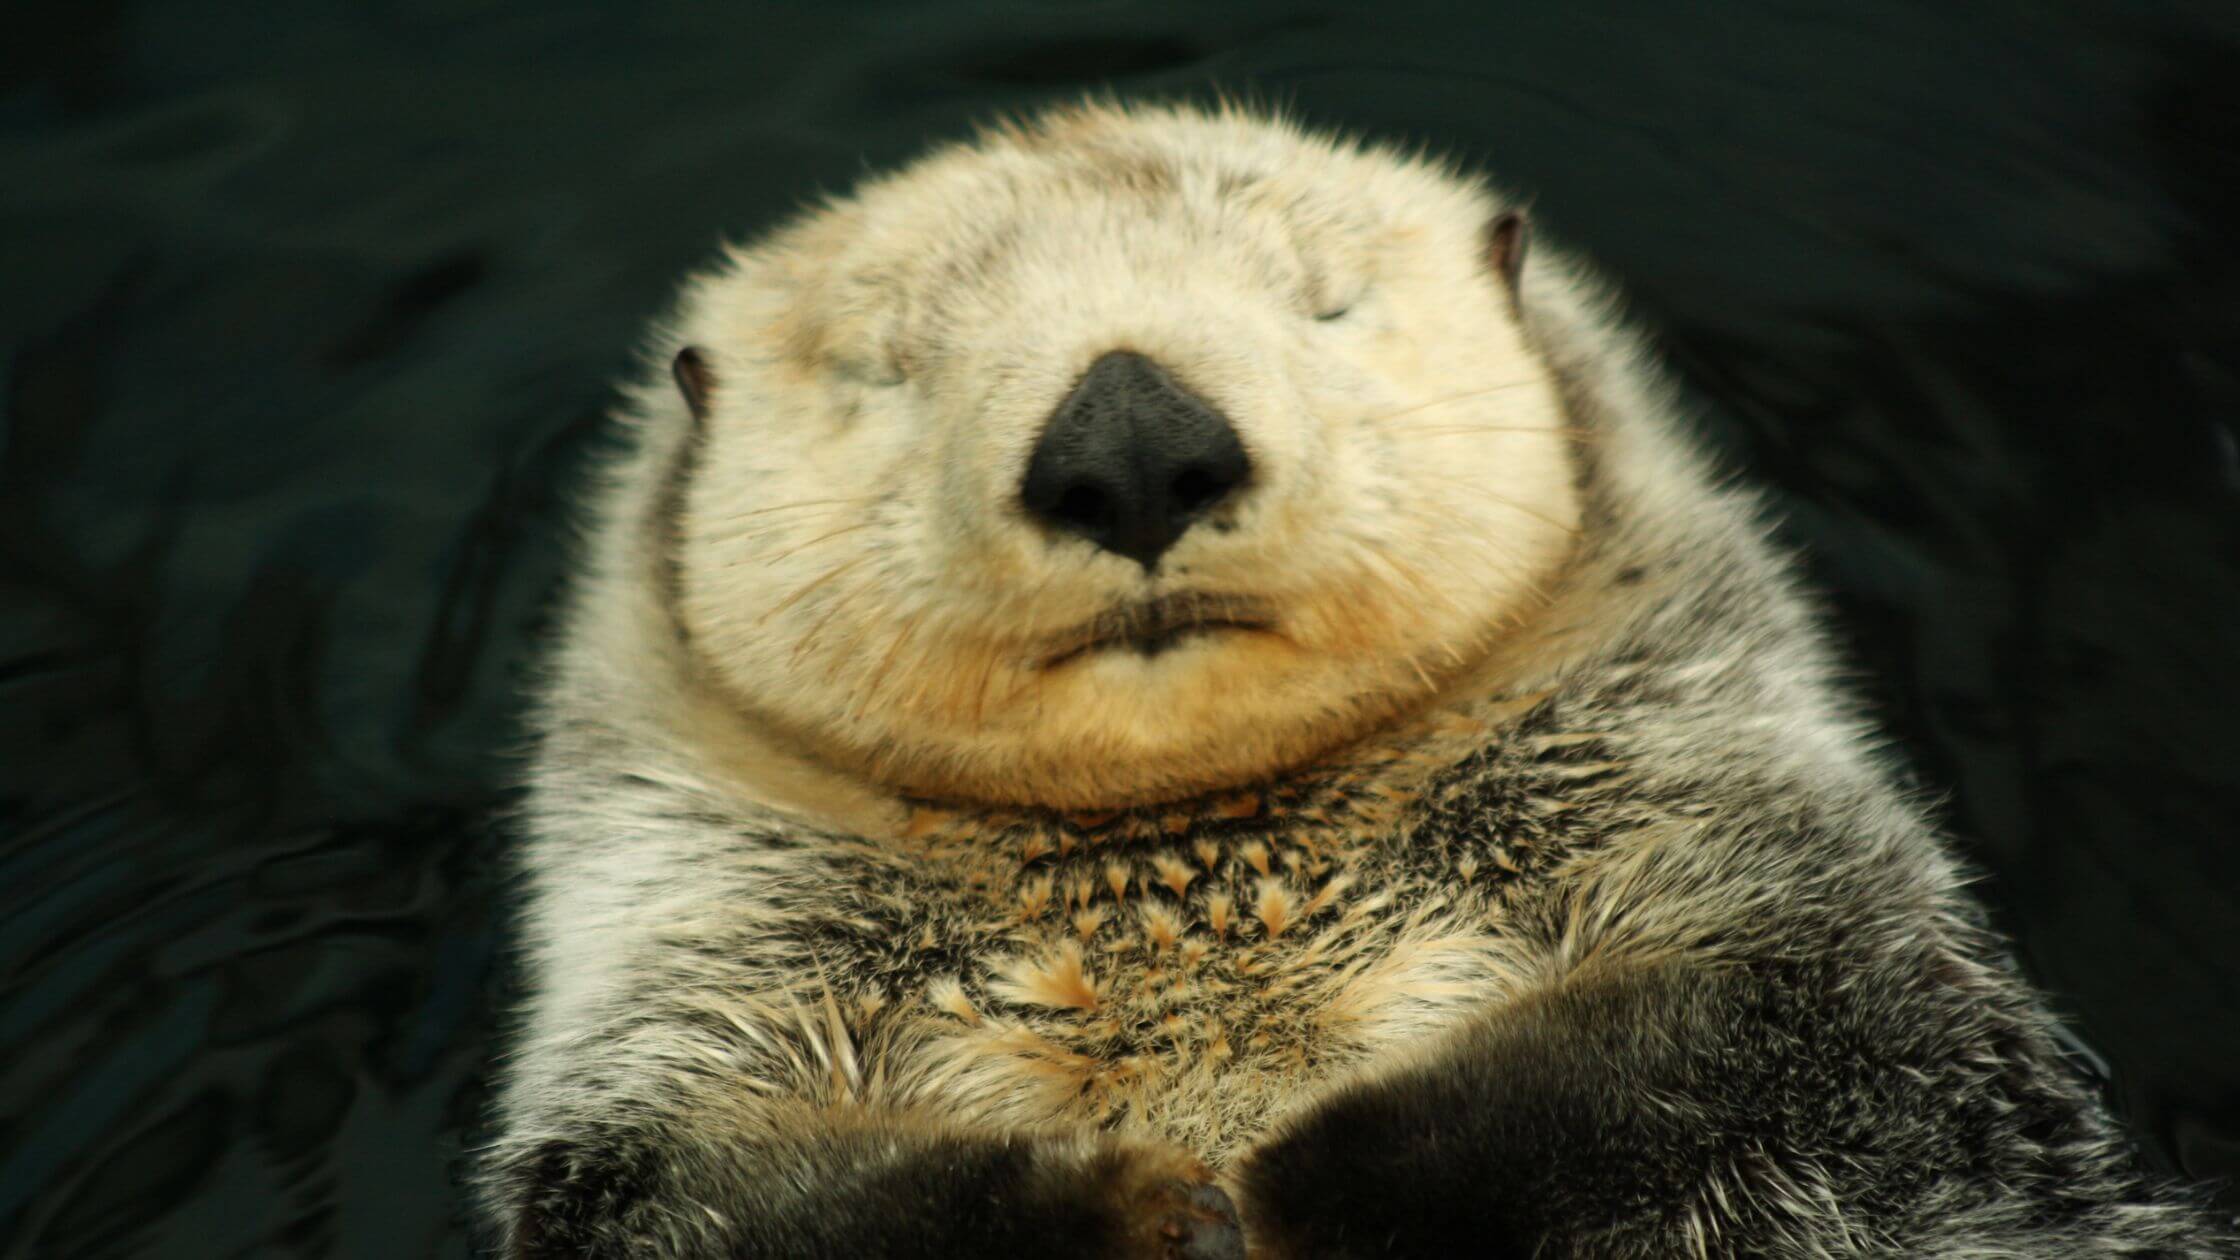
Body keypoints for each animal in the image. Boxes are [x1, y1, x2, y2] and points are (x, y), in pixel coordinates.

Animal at [479, 101, 2233, 1257]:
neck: (1195, 887)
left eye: (1325, 303)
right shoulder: (680, 1027)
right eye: (884, 367)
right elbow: (710, 1212)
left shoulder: (1758, 869)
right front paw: (1139, 1198)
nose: (1132, 444)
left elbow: (1776, 1053)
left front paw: (1305, 1171)